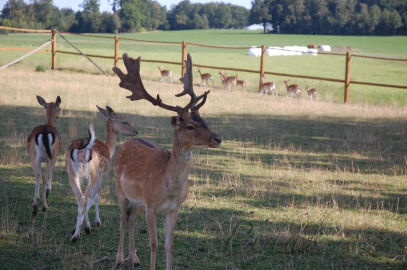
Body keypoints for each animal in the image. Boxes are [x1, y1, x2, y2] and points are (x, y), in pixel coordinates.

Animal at [65, 105, 137, 243]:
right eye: (124, 121)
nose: (136, 131)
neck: (109, 148)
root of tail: (81, 149)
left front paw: (76, 227)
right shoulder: (103, 175)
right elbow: (95, 197)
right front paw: (96, 222)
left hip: (71, 174)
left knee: (80, 197)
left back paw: (76, 234)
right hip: (94, 173)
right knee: (85, 197)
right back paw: (82, 231)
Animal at [111, 53, 222, 268]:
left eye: (205, 121)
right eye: (190, 126)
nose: (217, 138)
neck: (169, 187)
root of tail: (125, 143)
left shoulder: (174, 208)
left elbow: (169, 245)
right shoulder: (150, 205)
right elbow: (154, 244)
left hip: (136, 199)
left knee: (131, 219)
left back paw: (134, 258)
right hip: (120, 190)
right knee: (122, 218)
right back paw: (119, 259)